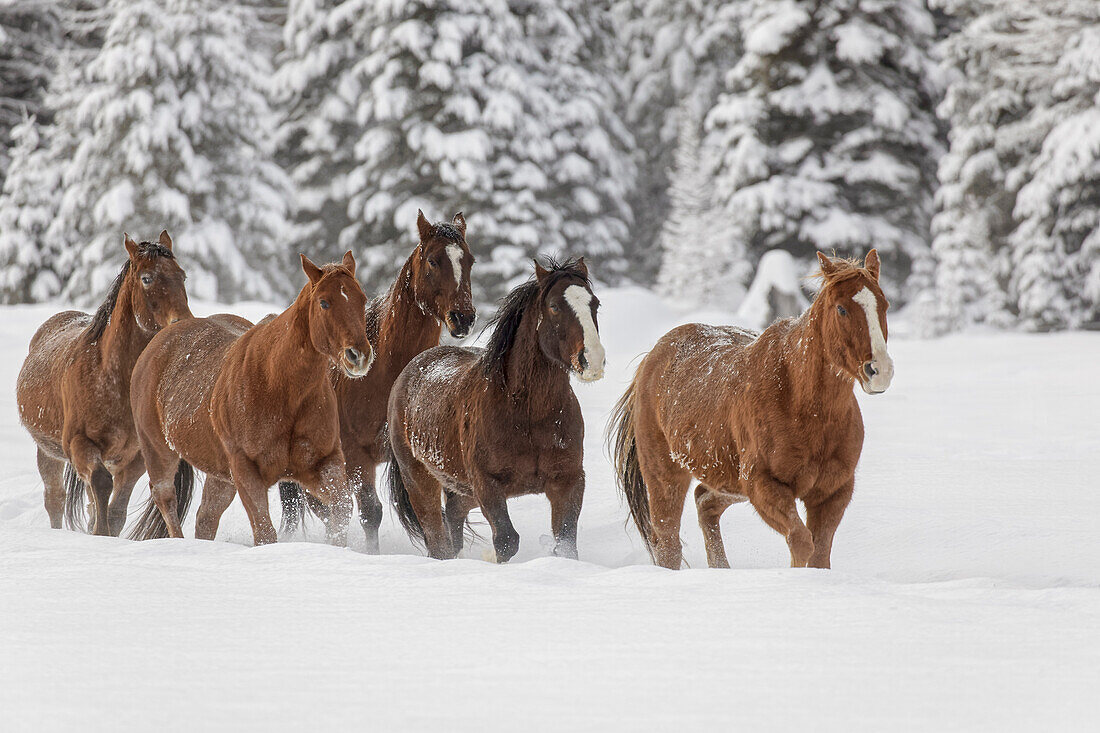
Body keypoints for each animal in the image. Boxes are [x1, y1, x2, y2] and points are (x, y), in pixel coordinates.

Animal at [15, 231, 191, 534]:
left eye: (182, 275)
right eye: (147, 278)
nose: (184, 322)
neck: (111, 379)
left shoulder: (136, 457)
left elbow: (115, 509)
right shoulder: (81, 445)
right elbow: (100, 487)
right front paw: (100, 535)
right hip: (48, 452)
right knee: (55, 499)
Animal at [129, 250, 374, 541]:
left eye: (362, 298)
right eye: (324, 302)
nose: (358, 355)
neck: (279, 387)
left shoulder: (323, 463)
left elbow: (340, 512)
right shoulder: (247, 470)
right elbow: (265, 532)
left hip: (221, 475)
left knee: (206, 518)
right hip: (159, 452)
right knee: (167, 502)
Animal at [277, 208, 475, 550]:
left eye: (470, 260)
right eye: (434, 260)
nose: (463, 317)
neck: (382, 375)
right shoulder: (359, 458)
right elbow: (371, 513)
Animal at [387, 256, 607, 559]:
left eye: (594, 304)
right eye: (554, 307)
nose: (592, 361)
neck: (527, 415)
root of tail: (407, 373)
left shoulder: (568, 481)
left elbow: (565, 544)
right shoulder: (487, 485)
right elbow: (506, 540)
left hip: (463, 490)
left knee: (452, 516)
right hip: (421, 480)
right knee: (437, 538)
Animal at [607, 253, 897, 572]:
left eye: (884, 305)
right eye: (842, 308)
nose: (879, 371)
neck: (803, 405)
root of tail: (652, 358)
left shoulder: (834, 491)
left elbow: (819, 554)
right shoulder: (763, 484)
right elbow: (801, 542)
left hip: (727, 483)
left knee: (704, 504)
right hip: (665, 475)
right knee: (668, 543)